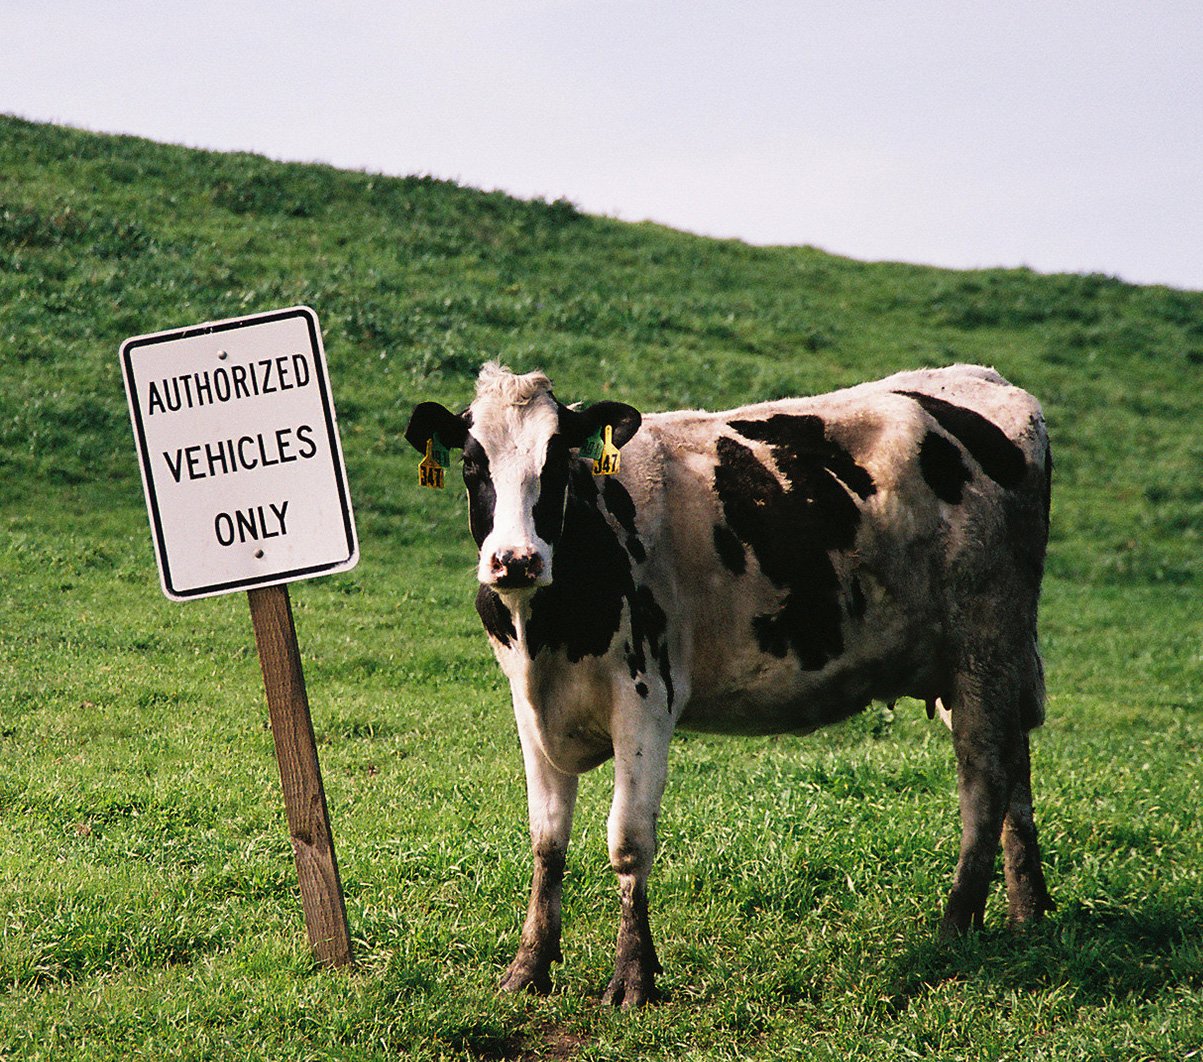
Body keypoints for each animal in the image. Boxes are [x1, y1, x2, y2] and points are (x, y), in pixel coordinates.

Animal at [404, 360, 1053, 1010]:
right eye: (472, 464)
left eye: (559, 459)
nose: (516, 560)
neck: (550, 628)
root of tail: (981, 378)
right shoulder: (532, 706)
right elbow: (546, 842)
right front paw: (529, 966)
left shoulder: (646, 698)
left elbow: (628, 840)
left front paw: (634, 976)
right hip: (981, 662)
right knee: (1014, 760)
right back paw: (1029, 910)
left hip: (985, 643)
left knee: (985, 781)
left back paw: (957, 925)